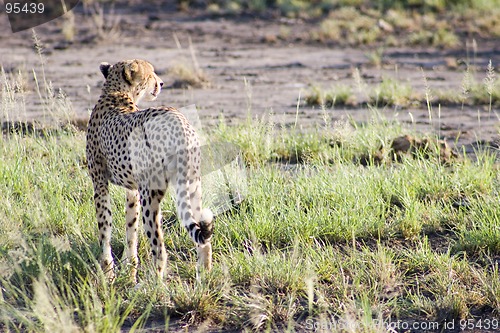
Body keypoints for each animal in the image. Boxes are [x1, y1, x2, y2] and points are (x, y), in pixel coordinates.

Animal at [87, 59, 214, 280]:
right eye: (150, 74)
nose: (161, 83)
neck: (116, 91)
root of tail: (178, 121)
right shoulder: (133, 189)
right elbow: (131, 229)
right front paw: (129, 269)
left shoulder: (100, 182)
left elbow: (105, 229)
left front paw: (108, 272)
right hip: (192, 185)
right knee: (203, 238)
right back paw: (204, 276)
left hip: (151, 194)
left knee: (159, 248)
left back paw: (153, 284)